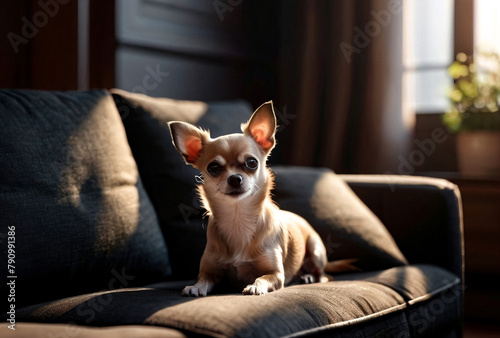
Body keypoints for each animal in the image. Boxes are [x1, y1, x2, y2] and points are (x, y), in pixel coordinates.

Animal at [170, 101, 330, 296]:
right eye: (213, 168)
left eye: (252, 163)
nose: (234, 178)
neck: (238, 218)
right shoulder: (210, 270)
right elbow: (203, 279)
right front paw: (195, 287)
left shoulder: (276, 274)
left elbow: (263, 277)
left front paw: (255, 286)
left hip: (315, 249)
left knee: (323, 276)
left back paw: (307, 276)